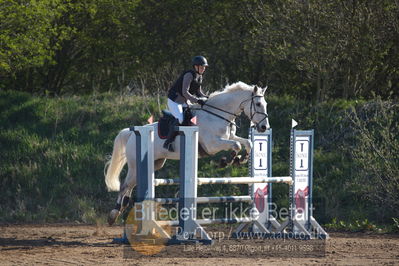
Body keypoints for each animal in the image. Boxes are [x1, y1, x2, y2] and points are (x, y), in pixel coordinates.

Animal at [104, 81, 270, 224]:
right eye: (258, 104)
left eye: (265, 105)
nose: (263, 127)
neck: (217, 115)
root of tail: (132, 133)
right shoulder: (212, 144)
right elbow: (236, 145)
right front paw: (228, 160)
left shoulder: (229, 137)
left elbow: (247, 142)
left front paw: (242, 158)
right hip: (135, 165)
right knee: (125, 185)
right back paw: (113, 215)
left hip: (155, 163)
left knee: (131, 185)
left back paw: (123, 208)